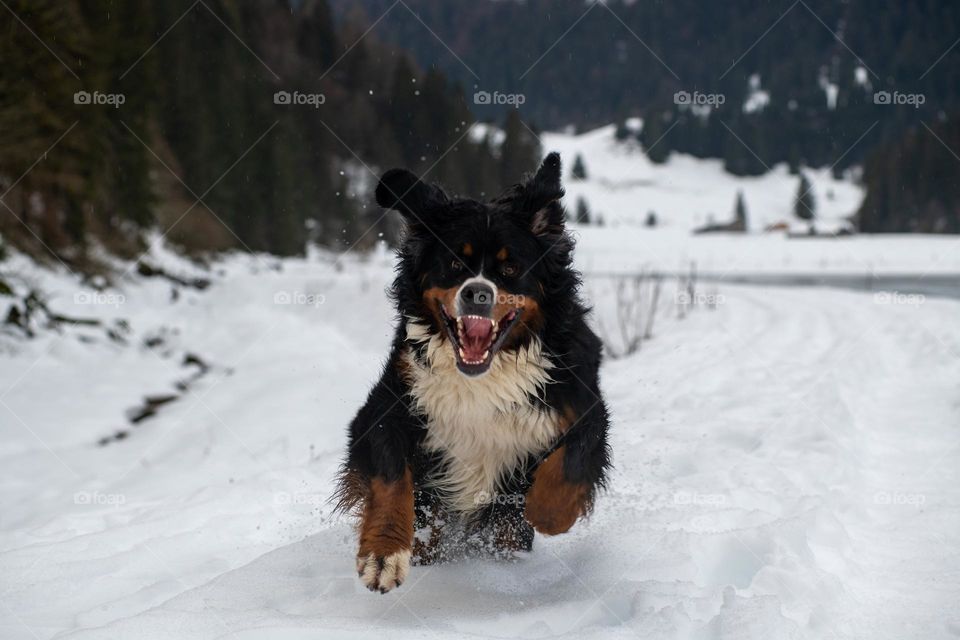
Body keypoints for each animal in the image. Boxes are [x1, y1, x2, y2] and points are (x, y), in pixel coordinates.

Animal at [334, 152, 612, 592]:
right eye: (453, 263)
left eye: (510, 268)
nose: (477, 294)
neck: (482, 376)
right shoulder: (387, 407)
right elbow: (391, 479)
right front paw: (383, 554)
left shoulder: (586, 407)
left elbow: (571, 464)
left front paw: (545, 511)